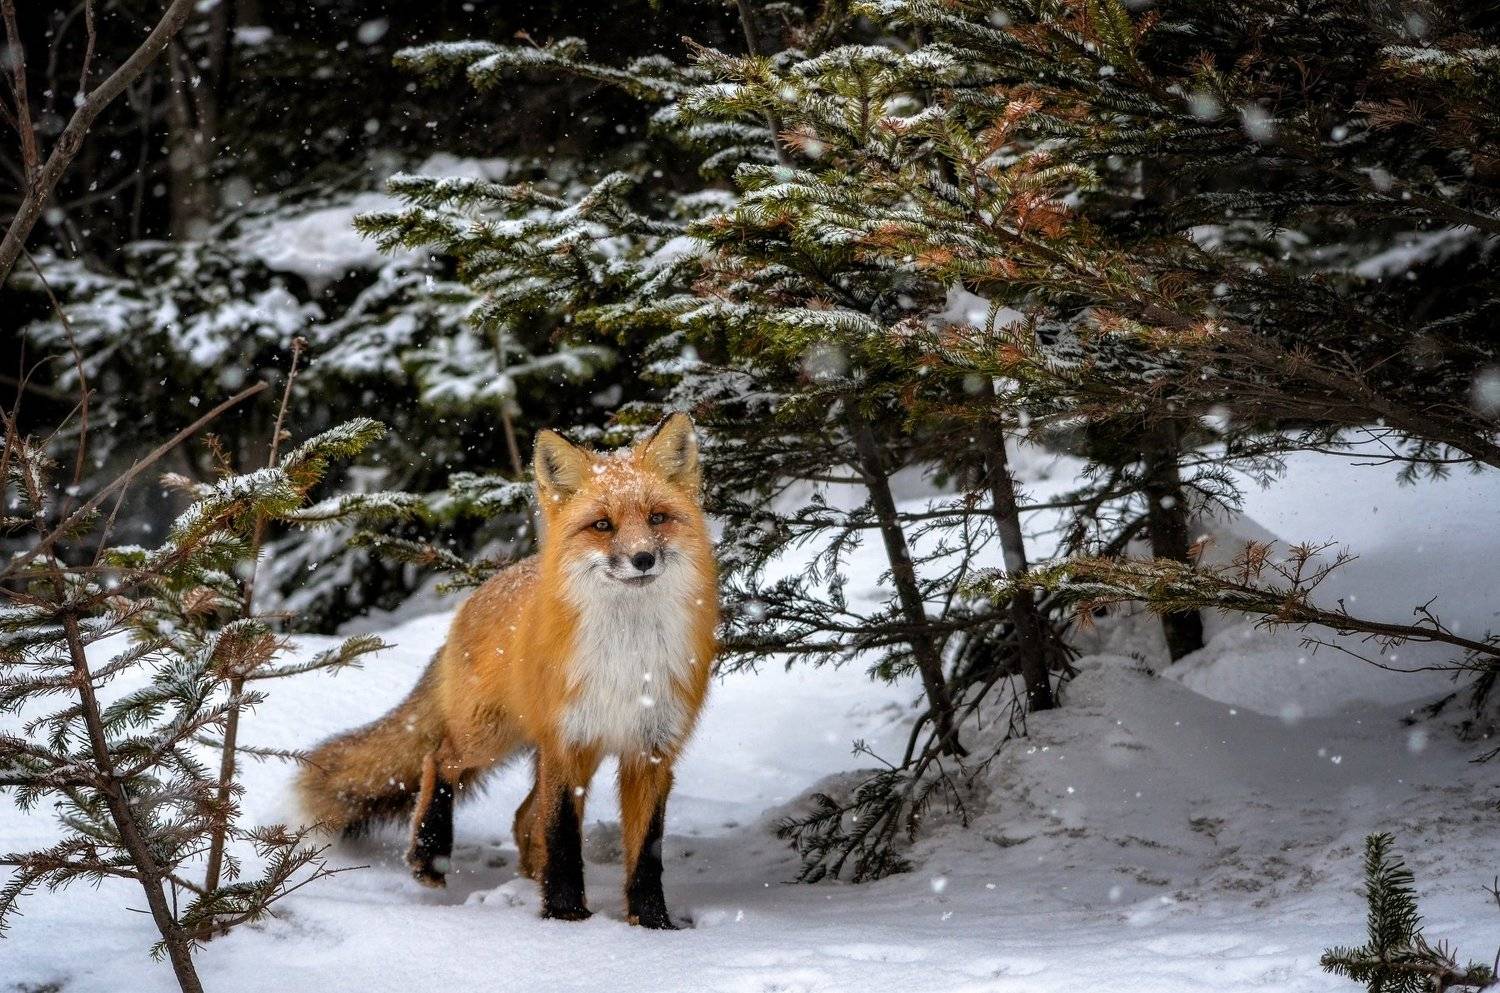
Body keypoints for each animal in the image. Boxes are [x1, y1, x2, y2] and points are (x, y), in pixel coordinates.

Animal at [295, 413, 717, 928]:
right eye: (602, 525)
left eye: (657, 518)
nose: (642, 558)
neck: (627, 655)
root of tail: (476, 595)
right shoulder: (566, 744)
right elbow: (562, 835)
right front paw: (565, 914)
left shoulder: (652, 749)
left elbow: (646, 851)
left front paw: (653, 924)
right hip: (491, 735)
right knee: (439, 758)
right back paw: (430, 854)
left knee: (521, 819)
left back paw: (527, 877)